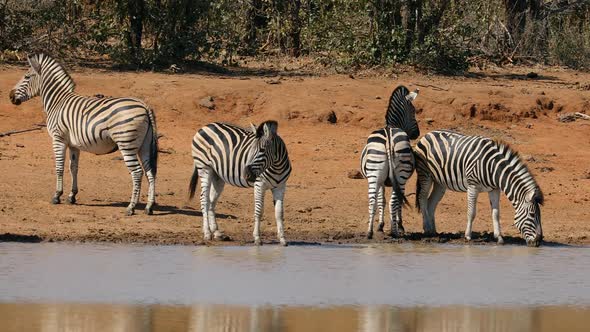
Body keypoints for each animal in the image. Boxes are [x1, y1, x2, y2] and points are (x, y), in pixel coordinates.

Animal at [9, 53, 157, 215]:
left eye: (27, 76)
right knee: (150, 172)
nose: (10, 96)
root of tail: (145, 106)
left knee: (137, 172)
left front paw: (57, 195)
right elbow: (73, 167)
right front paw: (71, 196)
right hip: (144, 145)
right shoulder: (74, 144)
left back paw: (131, 207)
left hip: (126, 143)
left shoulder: (58, 138)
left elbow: (59, 167)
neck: (57, 101)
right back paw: (149, 207)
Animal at [360, 85, 420, 239]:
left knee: (372, 200)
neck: (391, 124)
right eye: (413, 111)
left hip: (374, 173)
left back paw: (369, 232)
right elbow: (395, 201)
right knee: (394, 201)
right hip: (401, 175)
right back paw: (394, 231)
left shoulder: (381, 180)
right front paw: (398, 225)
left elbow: (381, 200)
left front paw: (380, 226)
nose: (416, 134)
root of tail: (388, 136)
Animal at [416, 130, 544, 246]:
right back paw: (427, 228)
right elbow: (471, 212)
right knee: (422, 198)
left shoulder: (494, 189)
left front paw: (499, 237)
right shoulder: (473, 186)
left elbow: (496, 214)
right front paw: (468, 236)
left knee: (431, 203)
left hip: (440, 183)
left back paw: (432, 231)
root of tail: (428, 133)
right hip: (425, 174)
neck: (493, 167)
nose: (538, 241)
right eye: (532, 215)